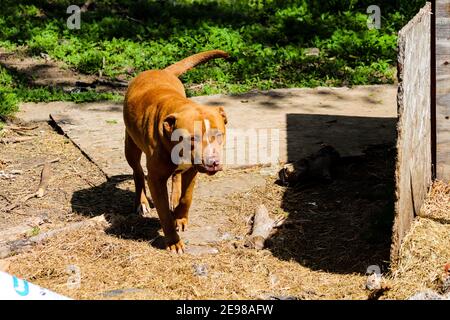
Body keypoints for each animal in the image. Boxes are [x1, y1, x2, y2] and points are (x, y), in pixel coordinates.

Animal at [123, 50, 229, 254]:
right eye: (193, 138)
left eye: (219, 135)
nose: (213, 162)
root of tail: (162, 70)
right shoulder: (156, 179)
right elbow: (163, 211)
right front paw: (173, 241)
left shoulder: (193, 170)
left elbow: (187, 197)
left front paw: (180, 217)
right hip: (130, 146)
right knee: (138, 172)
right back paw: (142, 202)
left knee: (176, 176)